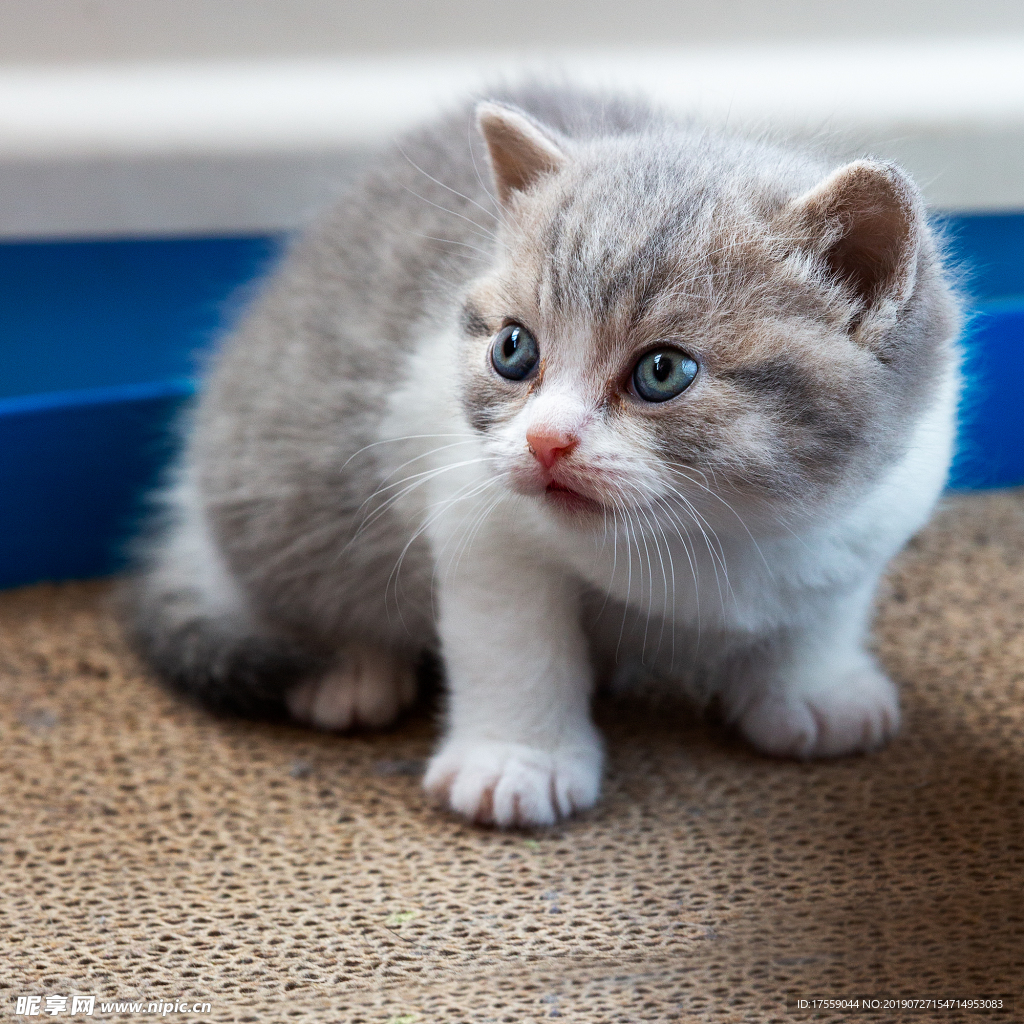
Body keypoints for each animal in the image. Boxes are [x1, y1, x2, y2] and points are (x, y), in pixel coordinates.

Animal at [132, 83, 962, 827]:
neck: (720, 535)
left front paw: (811, 692)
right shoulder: (478, 513)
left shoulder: (870, 512)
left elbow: (824, 603)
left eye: (664, 371)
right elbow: (512, 641)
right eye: (513, 349)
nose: (545, 439)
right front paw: (516, 761)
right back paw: (351, 668)